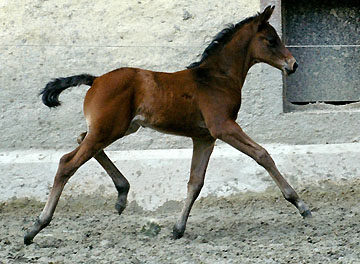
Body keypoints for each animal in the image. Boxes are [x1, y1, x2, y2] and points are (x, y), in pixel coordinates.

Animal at [23, 5, 310, 245]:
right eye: (271, 40)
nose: (293, 64)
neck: (216, 77)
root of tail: (95, 80)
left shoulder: (204, 137)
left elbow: (195, 181)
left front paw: (178, 228)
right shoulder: (223, 127)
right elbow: (262, 154)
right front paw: (300, 203)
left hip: (119, 128)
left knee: (82, 138)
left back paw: (122, 194)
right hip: (109, 129)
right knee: (67, 163)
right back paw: (35, 227)